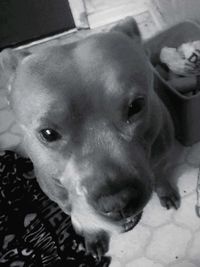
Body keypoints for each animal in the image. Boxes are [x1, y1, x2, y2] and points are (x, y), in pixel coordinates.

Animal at [0, 17, 180, 260]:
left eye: (136, 106)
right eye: (48, 133)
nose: (118, 202)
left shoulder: (161, 155)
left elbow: (160, 176)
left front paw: (166, 192)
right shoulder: (63, 200)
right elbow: (80, 218)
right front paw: (92, 237)